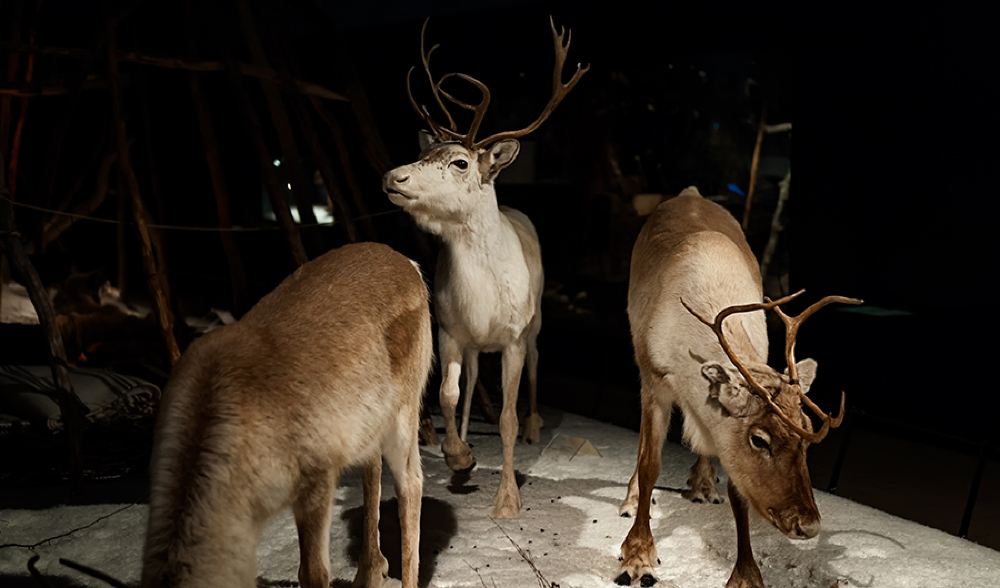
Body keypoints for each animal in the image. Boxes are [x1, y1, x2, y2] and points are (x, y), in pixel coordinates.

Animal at [140, 242, 433, 588]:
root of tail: (411, 264)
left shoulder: (317, 475)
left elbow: (313, 573)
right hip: (370, 424)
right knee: (373, 466)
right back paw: (370, 571)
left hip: (405, 409)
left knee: (411, 483)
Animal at [382, 17, 589, 518]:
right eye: (425, 153)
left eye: (460, 162)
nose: (393, 176)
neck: (481, 300)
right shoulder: (450, 330)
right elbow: (447, 394)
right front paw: (459, 456)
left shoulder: (512, 337)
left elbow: (508, 419)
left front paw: (508, 498)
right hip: (475, 346)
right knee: (473, 380)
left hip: (536, 323)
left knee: (535, 366)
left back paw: (535, 425)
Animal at [614, 187, 862, 587]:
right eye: (759, 439)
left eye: (808, 434)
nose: (808, 525)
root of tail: (690, 192)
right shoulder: (655, 381)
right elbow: (650, 462)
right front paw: (637, 556)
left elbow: (738, 489)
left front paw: (746, 574)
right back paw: (634, 498)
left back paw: (703, 485)